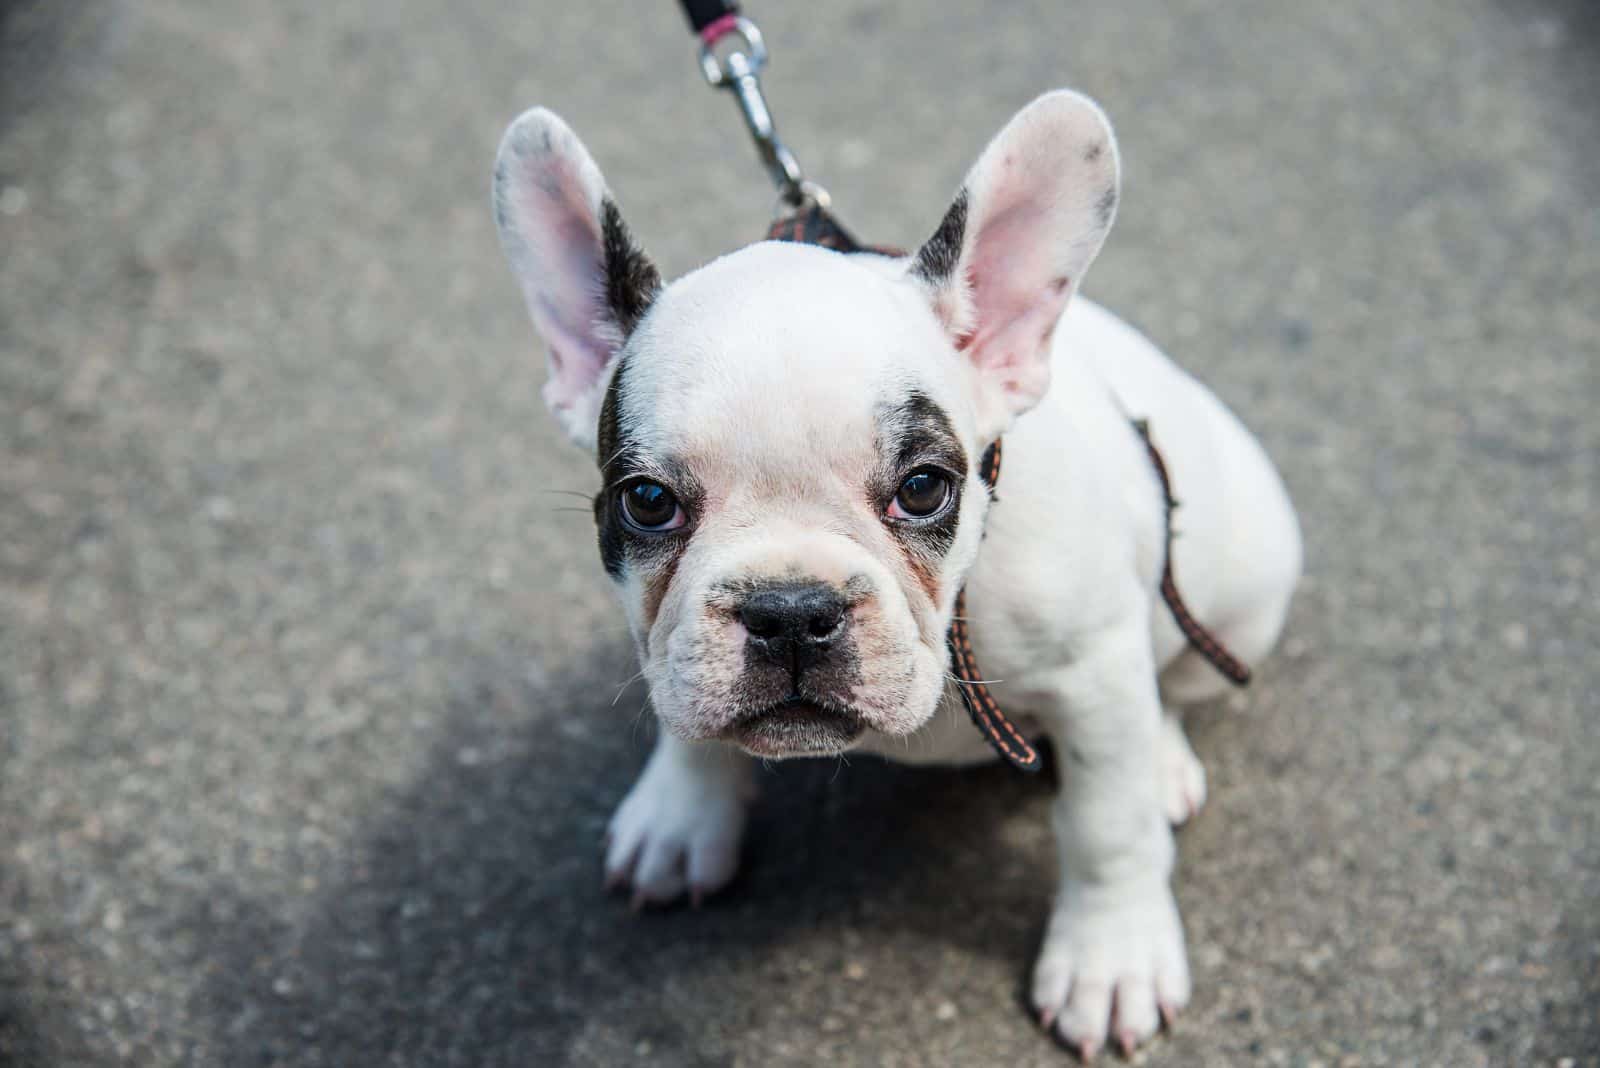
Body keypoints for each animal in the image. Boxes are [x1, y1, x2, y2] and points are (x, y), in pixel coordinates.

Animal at [486, 87, 1299, 1055]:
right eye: (646, 502)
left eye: (923, 488)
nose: (789, 609)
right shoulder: (666, 642)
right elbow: (685, 718)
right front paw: (682, 812)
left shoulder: (1095, 672)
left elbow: (1106, 829)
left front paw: (1111, 959)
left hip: (1247, 583)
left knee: (1174, 681)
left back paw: (1165, 764)